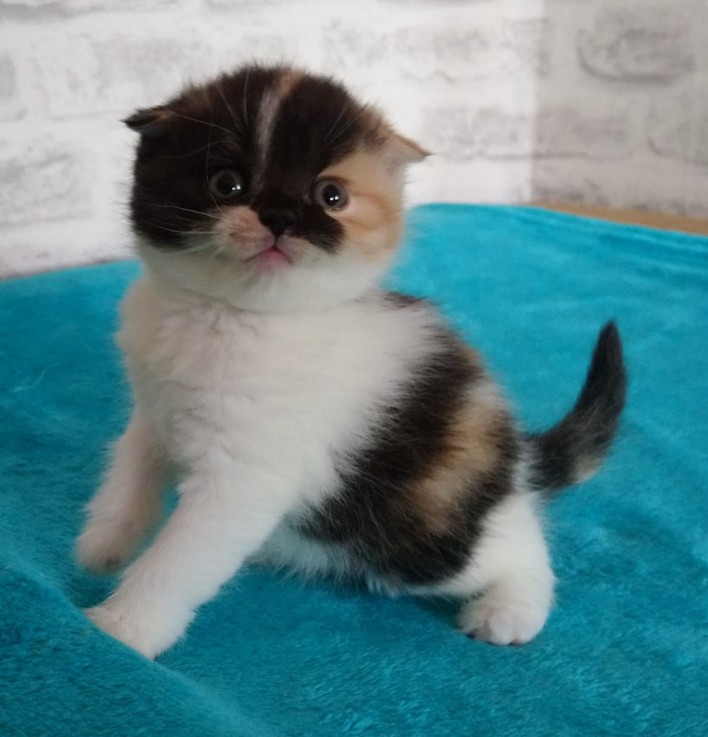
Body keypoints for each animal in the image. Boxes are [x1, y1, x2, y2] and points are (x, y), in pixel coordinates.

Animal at [76, 66, 624, 660]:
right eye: (227, 184)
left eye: (331, 196)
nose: (280, 218)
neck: (229, 315)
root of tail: (515, 461)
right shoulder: (153, 413)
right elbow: (128, 470)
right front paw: (103, 544)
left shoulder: (245, 477)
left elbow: (179, 560)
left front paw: (122, 627)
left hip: (418, 528)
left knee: (516, 544)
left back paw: (511, 607)